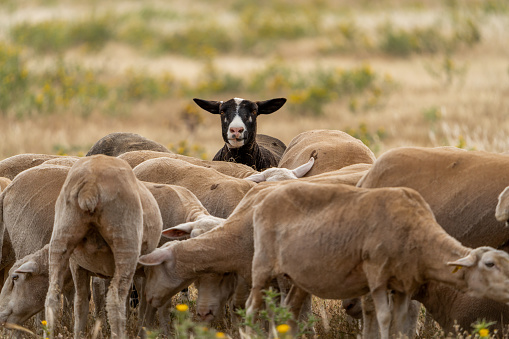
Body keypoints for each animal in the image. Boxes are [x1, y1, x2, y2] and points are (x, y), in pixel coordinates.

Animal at [45, 155, 162, 338]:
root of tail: (91, 184)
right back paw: (119, 333)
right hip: (125, 240)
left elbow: (80, 303)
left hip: (62, 234)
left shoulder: (78, 265)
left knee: (56, 296)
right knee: (115, 299)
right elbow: (145, 305)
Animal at [243, 183, 509, 339]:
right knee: (251, 307)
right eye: (490, 264)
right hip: (262, 266)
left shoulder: (403, 285)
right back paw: (247, 333)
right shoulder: (377, 275)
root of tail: (264, 198)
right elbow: (384, 317)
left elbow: (399, 321)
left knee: (288, 311)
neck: (417, 233)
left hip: (299, 278)